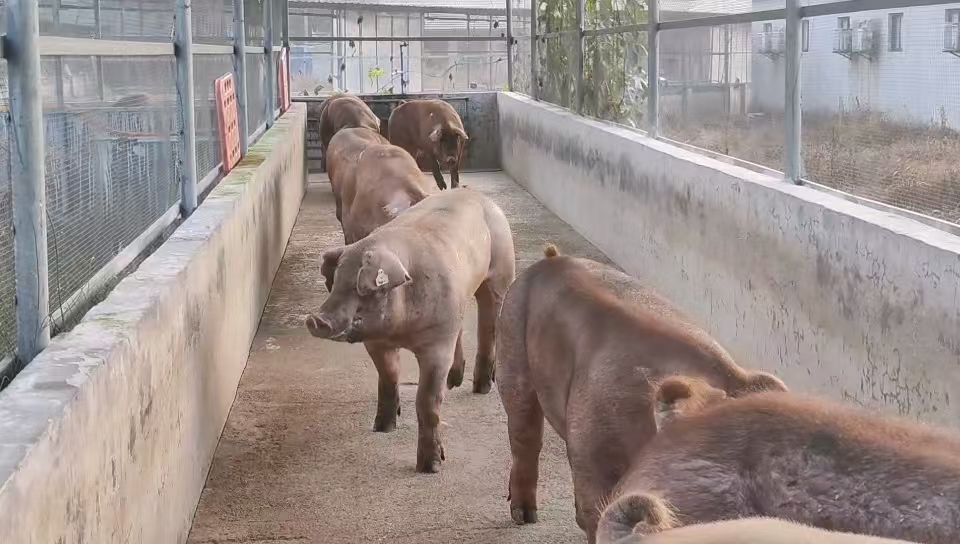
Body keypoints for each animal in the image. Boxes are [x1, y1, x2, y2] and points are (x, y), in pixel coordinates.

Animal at [308, 189, 516, 474]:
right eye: (336, 283)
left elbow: (426, 400)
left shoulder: (437, 344)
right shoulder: (377, 342)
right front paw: (382, 428)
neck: (401, 331)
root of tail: (476, 194)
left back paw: (481, 387)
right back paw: (453, 382)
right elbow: (388, 376)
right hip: (458, 303)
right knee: (463, 327)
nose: (316, 319)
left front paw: (430, 467)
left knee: (489, 324)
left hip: (500, 271)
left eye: (363, 288)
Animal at [496, 248, 788, 544]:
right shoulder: (593, 457)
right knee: (524, 432)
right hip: (511, 341)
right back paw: (525, 516)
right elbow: (596, 514)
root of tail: (550, 258)